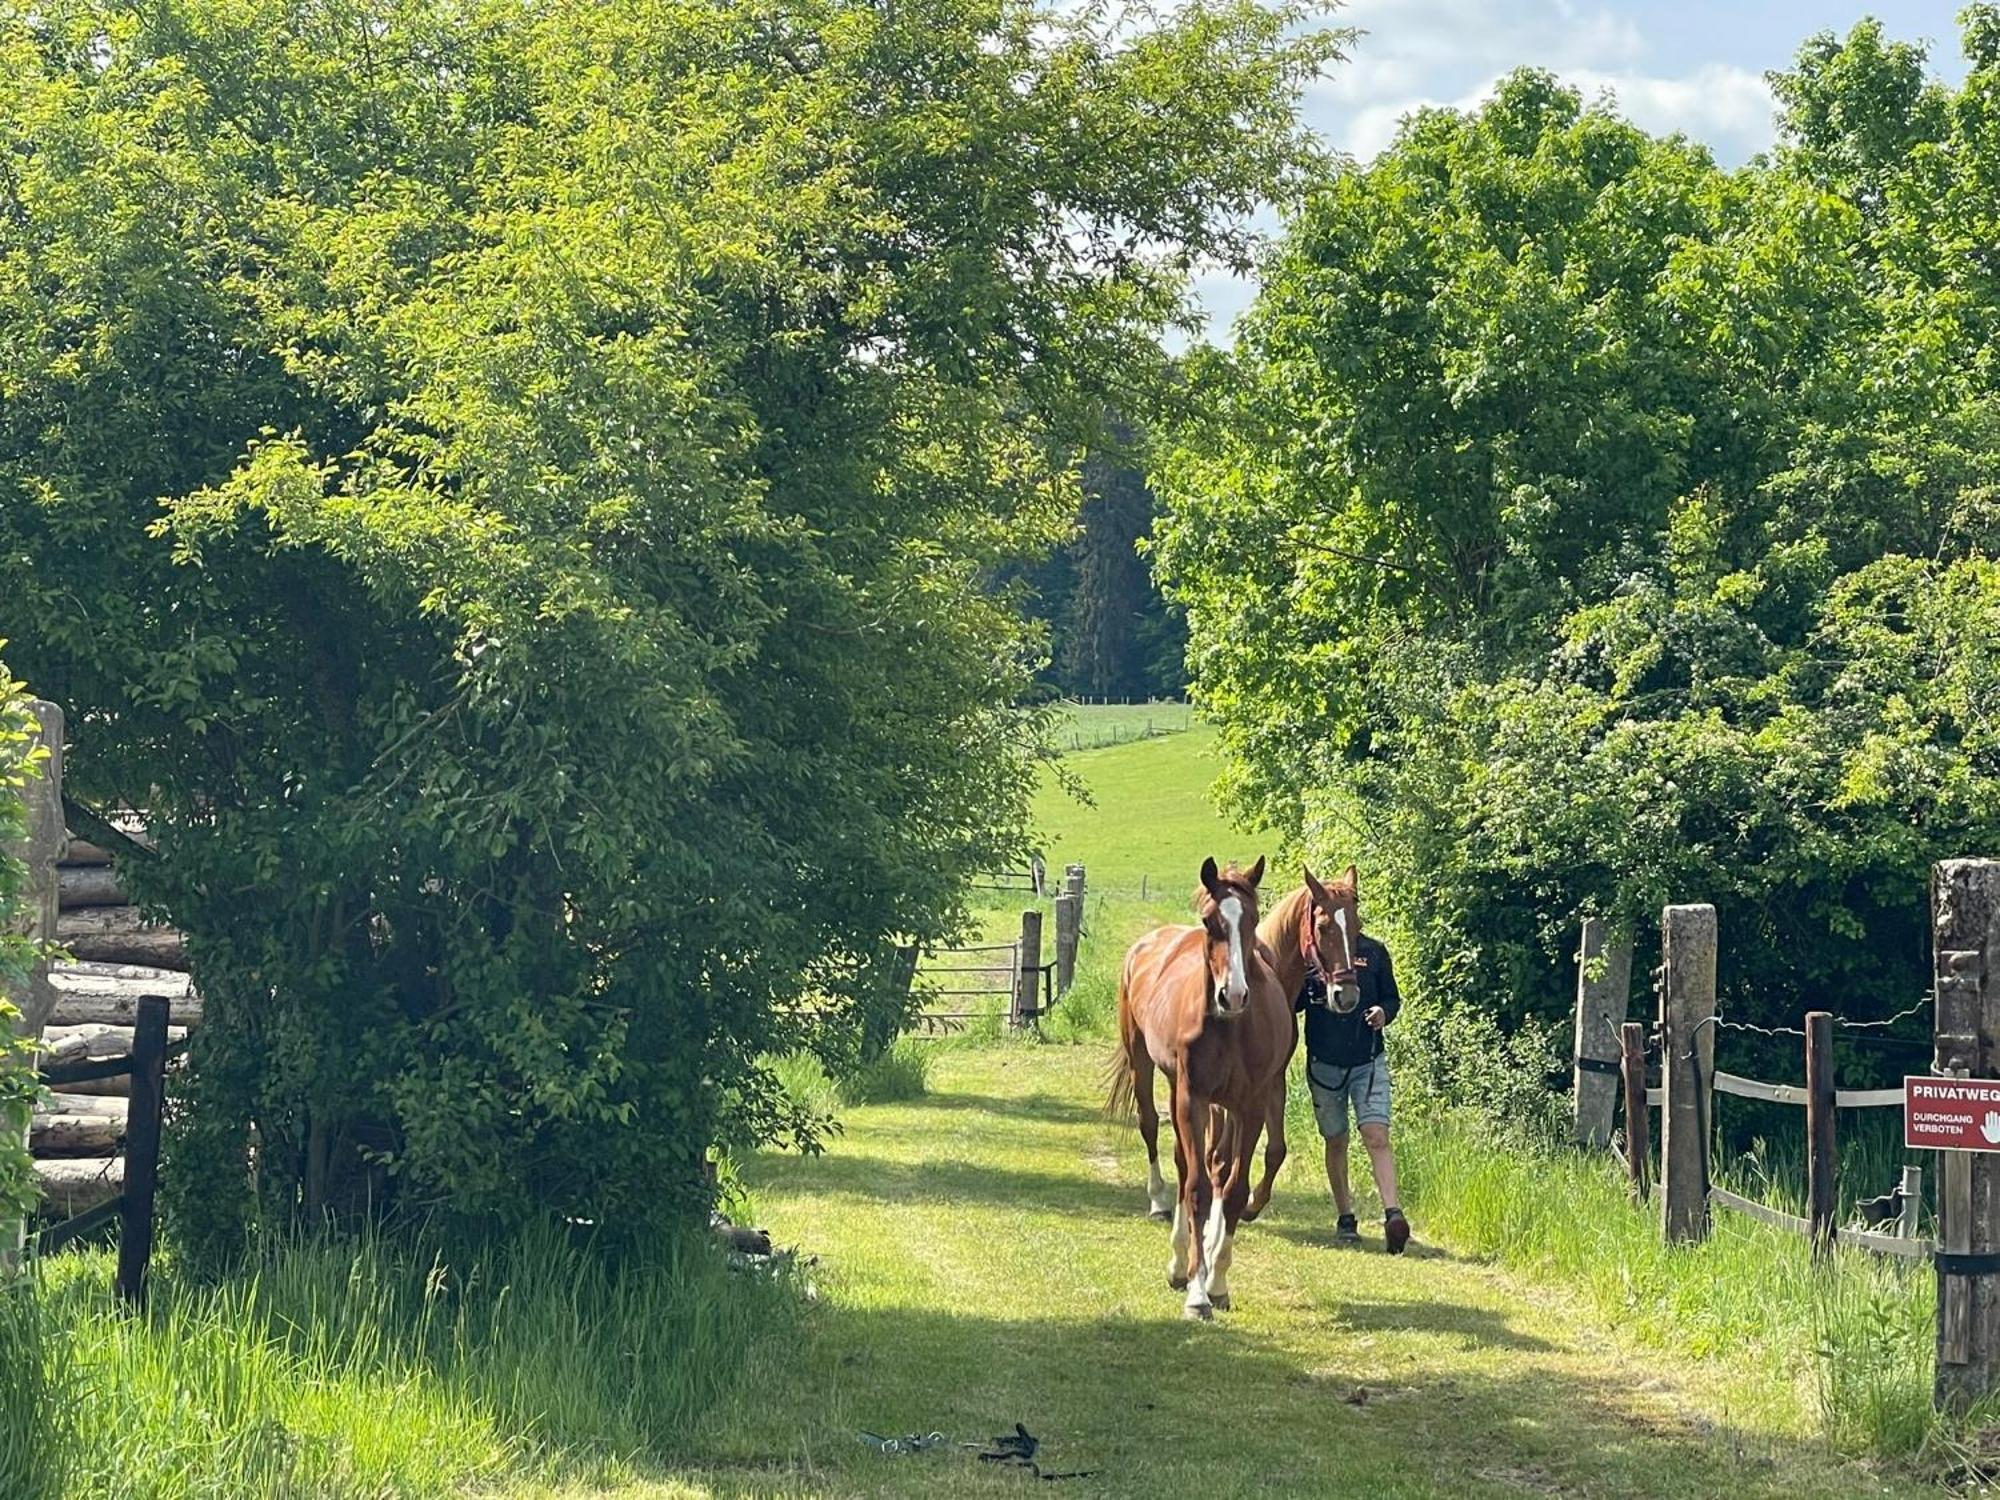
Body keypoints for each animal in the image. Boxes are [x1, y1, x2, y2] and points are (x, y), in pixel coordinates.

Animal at [1112, 864, 1296, 1320]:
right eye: (1209, 920)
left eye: (1252, 919)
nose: (1233, 995)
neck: (1231, 1027)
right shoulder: (1191, 1099)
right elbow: (1197, 1191)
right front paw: (1197, 1292)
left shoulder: (1250, 1106)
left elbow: (1232, 1191)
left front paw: (1217, 1282)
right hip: (1145, 1065)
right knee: (1155, 1136)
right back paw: (1165, 1219)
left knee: (1187, 1163)